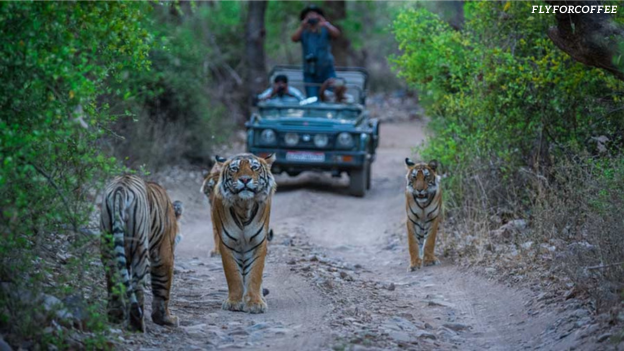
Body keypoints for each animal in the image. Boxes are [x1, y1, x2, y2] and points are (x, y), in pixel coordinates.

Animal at [100, 176, 183, 332]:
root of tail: (120, 189)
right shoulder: (164, 255)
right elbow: (162, 287)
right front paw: (166, 319)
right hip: (140, 249)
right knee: (137, 285)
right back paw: (137, 324)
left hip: (108, 243)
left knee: (114, 279)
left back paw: (116, 316)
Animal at [212, 153, 276, 314]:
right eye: (235, 168)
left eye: (254, 167)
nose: (245, 179)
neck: (244, 207)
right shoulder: (227, 244)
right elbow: (233, 274)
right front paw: (234, 302)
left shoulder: (258, 243)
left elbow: (255, 274)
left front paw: (255, 303)